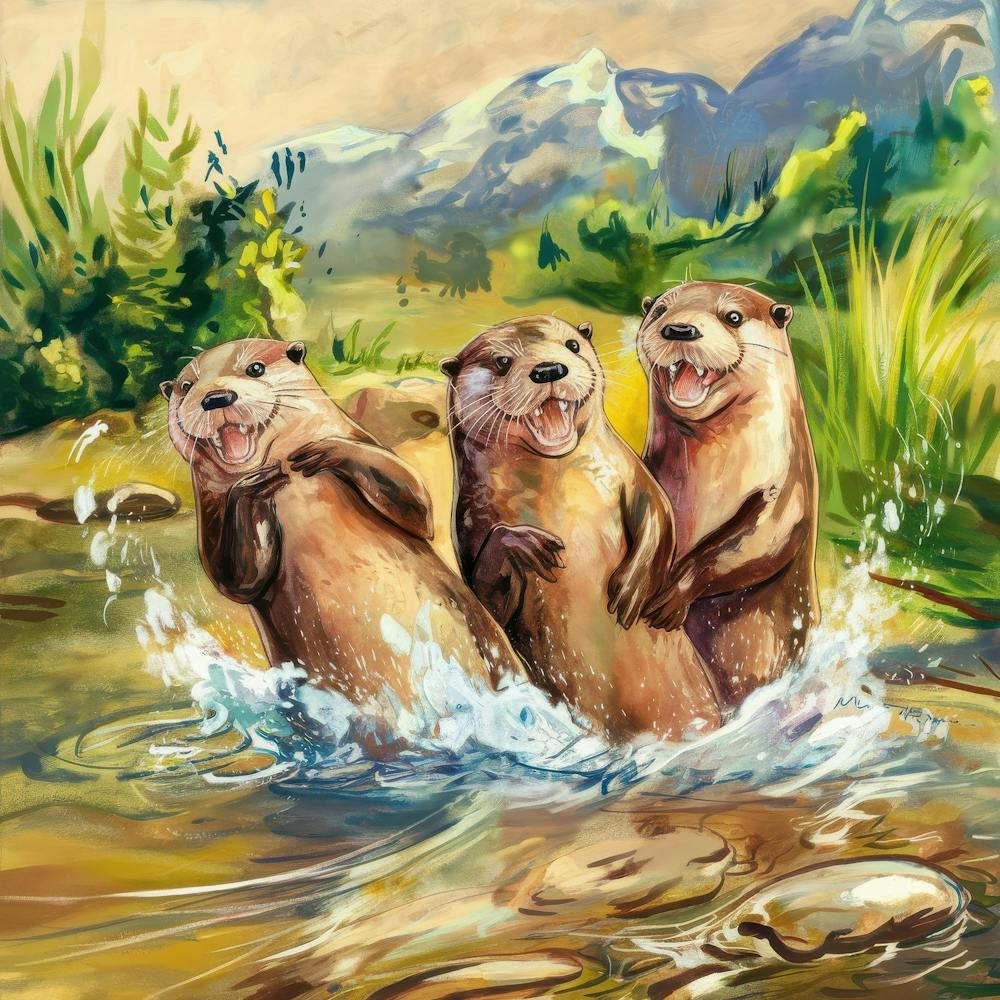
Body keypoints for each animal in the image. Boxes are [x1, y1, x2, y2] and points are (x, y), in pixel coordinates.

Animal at [161, 339, 524, 717]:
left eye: (255, 368)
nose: (216, 397)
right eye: (186, 386)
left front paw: (327, 450)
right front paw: (251, 487)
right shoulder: (211, 510)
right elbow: (236, 580)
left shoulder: (367, 443)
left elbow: (418, 504)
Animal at [441, 316, 721, 742]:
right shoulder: (470, 523)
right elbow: (487, 600)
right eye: (502, 362)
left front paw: (630, 588)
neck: (563, 497)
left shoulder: (633, 474)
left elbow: (659, 517)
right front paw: (524, 544)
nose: (548, 369)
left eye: (572, 345)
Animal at [636, 281, 819, 708]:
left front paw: (671, 597)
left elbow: (758, 542)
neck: (715, 476)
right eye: (660, 311)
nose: (680, 329)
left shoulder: (785, 492)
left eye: (732, 316)